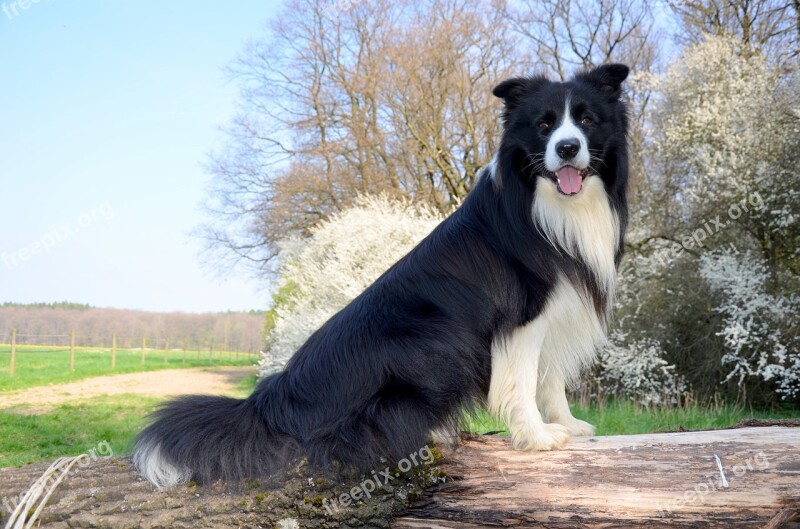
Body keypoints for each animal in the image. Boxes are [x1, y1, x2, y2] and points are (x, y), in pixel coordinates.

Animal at [133, 64, 632, 488]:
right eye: (544, 126)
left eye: (586, 120)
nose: (567, 148)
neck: (551, 205)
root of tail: (274, 402)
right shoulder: (522, 317)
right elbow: (524, 380)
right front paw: (537, 437)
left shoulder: (557, 310)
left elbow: (550, 379)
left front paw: (566, 424)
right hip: (430, 338)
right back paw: (433, 433)